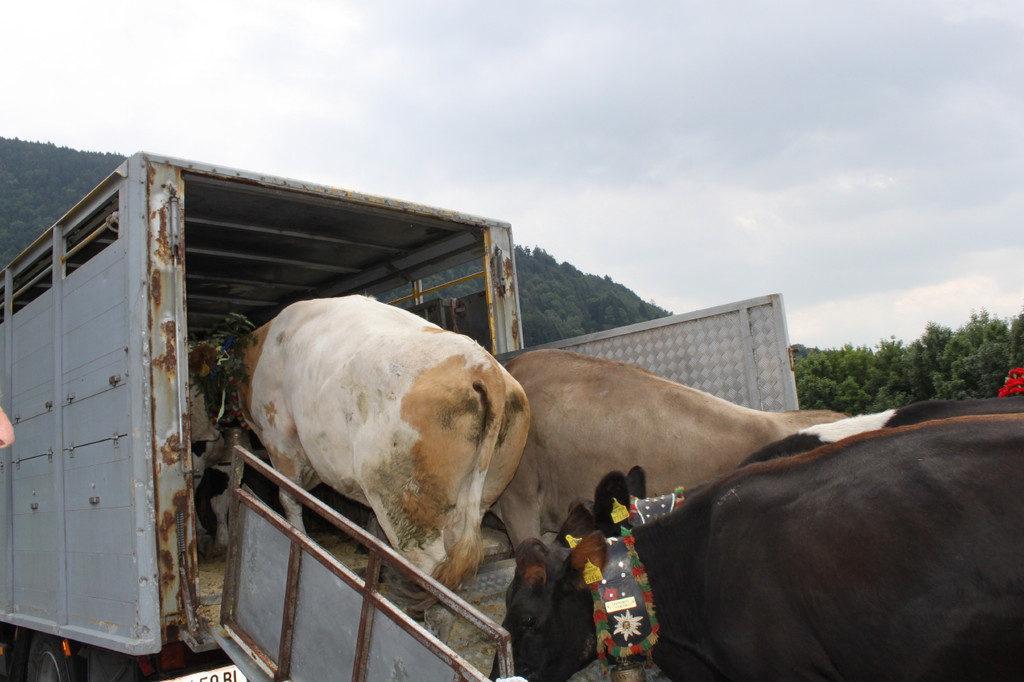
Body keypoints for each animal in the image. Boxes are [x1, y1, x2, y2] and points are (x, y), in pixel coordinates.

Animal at [231, 295, 530, 591]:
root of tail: (483, 366)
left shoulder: (278, 436)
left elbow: (290, 497)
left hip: (406, 501)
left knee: (430, 567)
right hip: (481, 493)